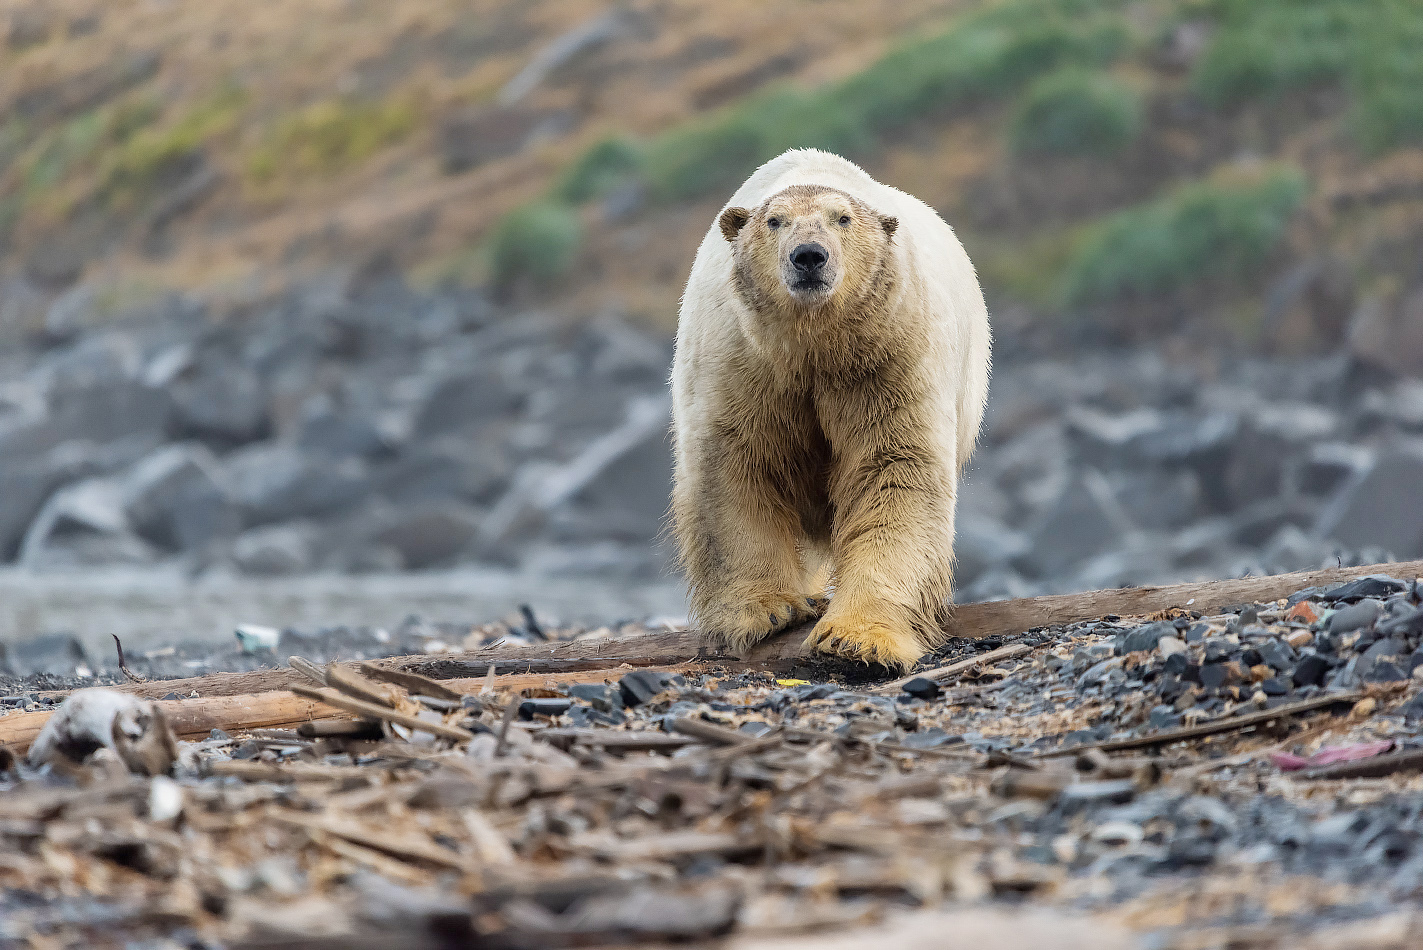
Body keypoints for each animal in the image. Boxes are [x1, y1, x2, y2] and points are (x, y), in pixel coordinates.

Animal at [671, 148, 996, 668]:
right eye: (775, 221)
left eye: (842, 218)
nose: (809, 255)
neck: (815, 345)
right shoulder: (741, 359)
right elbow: (734, 465)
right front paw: (770, 611)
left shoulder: (887, 356)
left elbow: (894, 469)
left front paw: (857, 640)